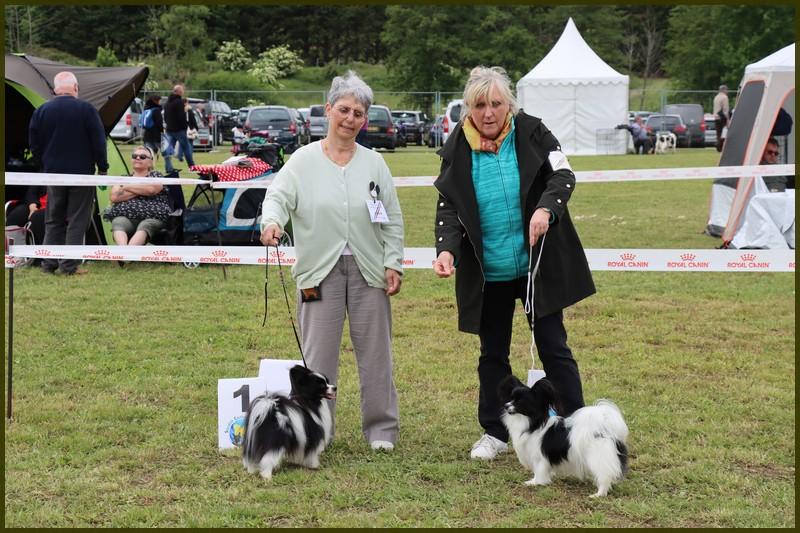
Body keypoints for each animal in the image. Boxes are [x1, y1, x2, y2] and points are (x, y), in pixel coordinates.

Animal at [496, 376, 628, 496]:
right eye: (511, 398)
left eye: (519, 401)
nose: (506, 405)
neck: (533, 423)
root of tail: (605, 429)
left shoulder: (539, 457)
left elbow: (539, 471)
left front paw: (534, 482)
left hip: (597, 458)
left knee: (604, 476)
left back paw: (598, 494)